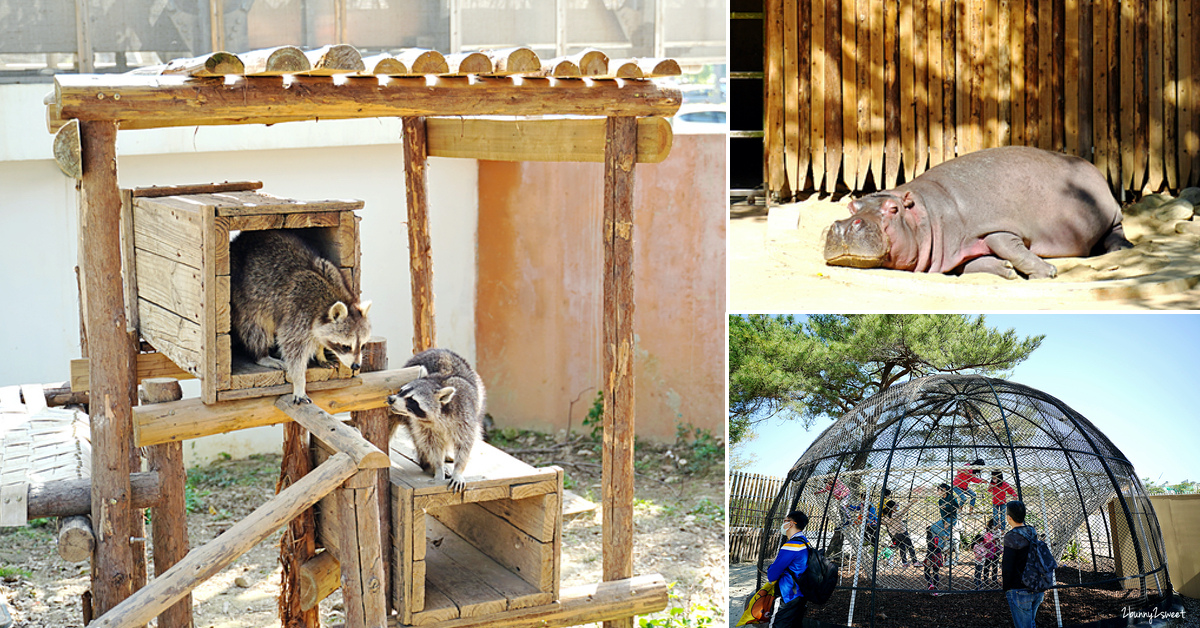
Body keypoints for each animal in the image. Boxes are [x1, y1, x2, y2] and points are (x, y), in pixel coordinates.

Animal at [228, 229, 369, 403]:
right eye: (345, 346)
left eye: (362, 345)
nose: (356, 366)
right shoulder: (297, 313)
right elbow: (294, 350)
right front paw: (299, 382)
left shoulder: (332, 273)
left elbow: (318, 338)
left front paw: (320, 353)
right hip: (244, 298)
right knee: (255, 328)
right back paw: (262, 354)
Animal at [391, 348, 489, 492]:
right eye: (401, 391)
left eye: (411, 400)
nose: (390, 399)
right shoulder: (421, 425)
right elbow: (431, 444)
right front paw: (437, 467)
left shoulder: (464, 416)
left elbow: (464, 443)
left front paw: (458, 470)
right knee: (420, 442)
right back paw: (427, 464)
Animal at [825, 146, 1132, 278]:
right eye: (852, 205)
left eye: (892, 209)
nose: (843, 225)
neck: (927, 214)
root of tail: (1092, 166)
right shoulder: (950, 254)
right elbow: (971, 265)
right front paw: (1005, 269)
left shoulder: (996, 226)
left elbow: (1011, 247)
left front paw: (1048, 271)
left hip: (1112, 213)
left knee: (1117, 230)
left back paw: (1120, 250)